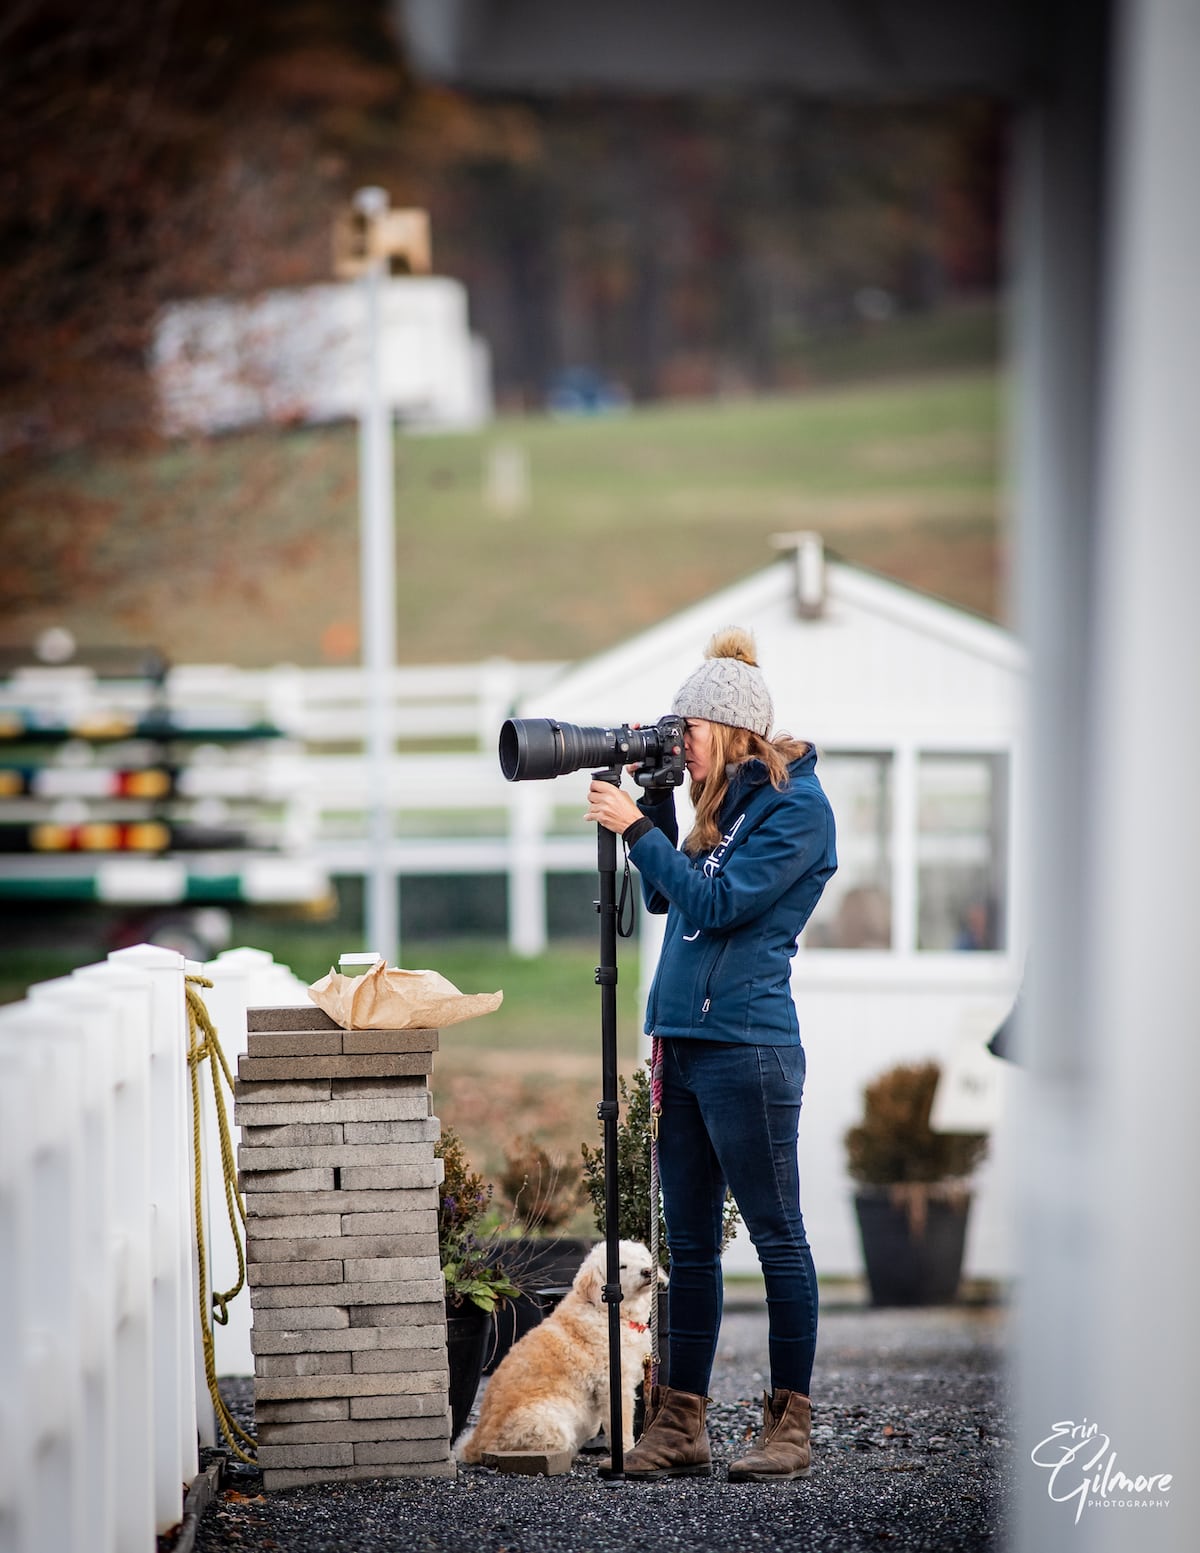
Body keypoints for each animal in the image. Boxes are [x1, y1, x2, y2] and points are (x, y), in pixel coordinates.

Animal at [453, 1236, 655, 1466]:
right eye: (622, 1266)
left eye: (642, 1259)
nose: (647, 1271)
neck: (605, 1311)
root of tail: (475, 1445)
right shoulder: (615, 1385)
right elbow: (622, 1427)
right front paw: (628, 1452)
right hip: (550, 1422)